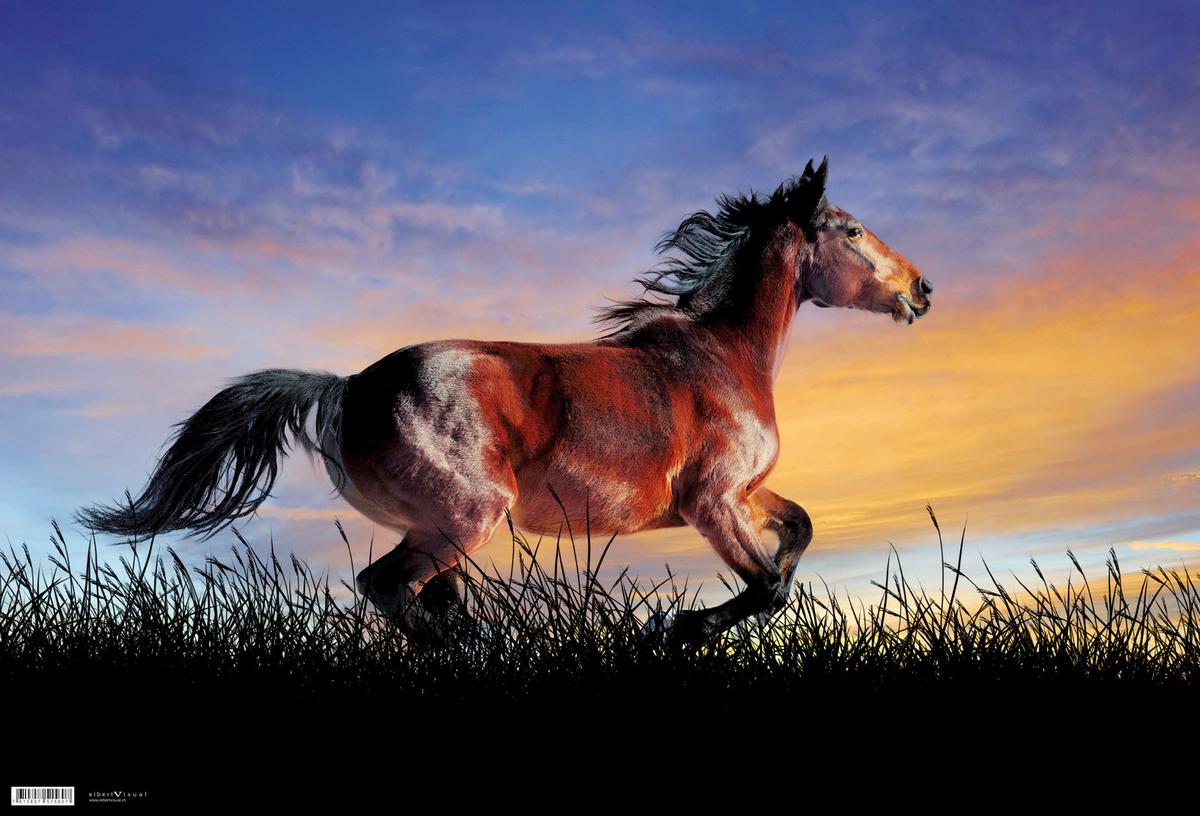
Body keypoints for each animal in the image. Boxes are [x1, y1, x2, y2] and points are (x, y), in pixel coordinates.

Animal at [76, 156, 932, 645]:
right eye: (851, 230)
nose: (922, 289)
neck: (720, 355)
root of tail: (348, 387)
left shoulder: (745, 496)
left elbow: (799, 535)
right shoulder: (712, 502)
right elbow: (769, 588)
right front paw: (675, 631)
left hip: (436, 526)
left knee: (425, 605)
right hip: (466, 516)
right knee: (392, 594)